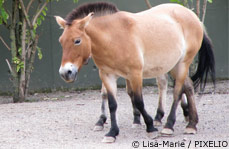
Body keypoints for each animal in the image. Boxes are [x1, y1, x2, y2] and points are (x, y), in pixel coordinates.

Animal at [55, 2, 215, 142]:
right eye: (61, 41)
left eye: (77, 41)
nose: (65, 72)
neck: (112, 38)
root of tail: (194, 17)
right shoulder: (107, 75)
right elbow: (112, 104)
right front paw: (112, 133)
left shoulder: (135, 74)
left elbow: (138, 100)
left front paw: (150, 127)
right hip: (174, 65)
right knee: (187, 87)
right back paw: (192, 124)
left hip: (182, 64)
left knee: (177, 91)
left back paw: (168, 126)